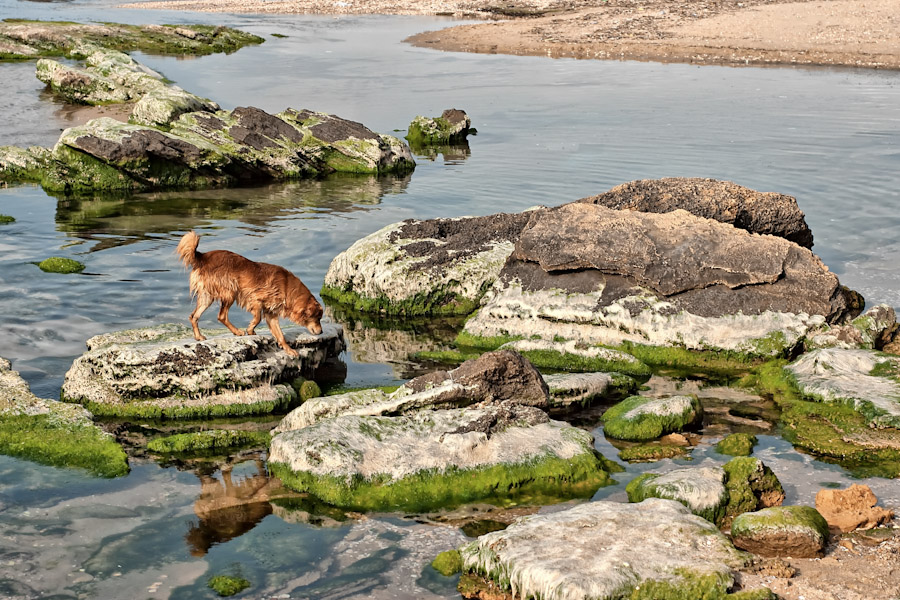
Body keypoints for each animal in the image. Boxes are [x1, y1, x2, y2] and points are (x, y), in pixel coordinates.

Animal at [176, 231, 324, 356]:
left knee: (194, 316)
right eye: (317, 318)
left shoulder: (271, 314)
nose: (321, 331)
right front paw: (250, 330)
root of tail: (202, 256)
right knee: (222, 316)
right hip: (230, 292)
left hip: (207, 296)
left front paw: (288, 349)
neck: (287, 289)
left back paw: (198, 336)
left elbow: (280, 334)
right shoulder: (255, 299)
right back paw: (237, 331)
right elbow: (257, 318)